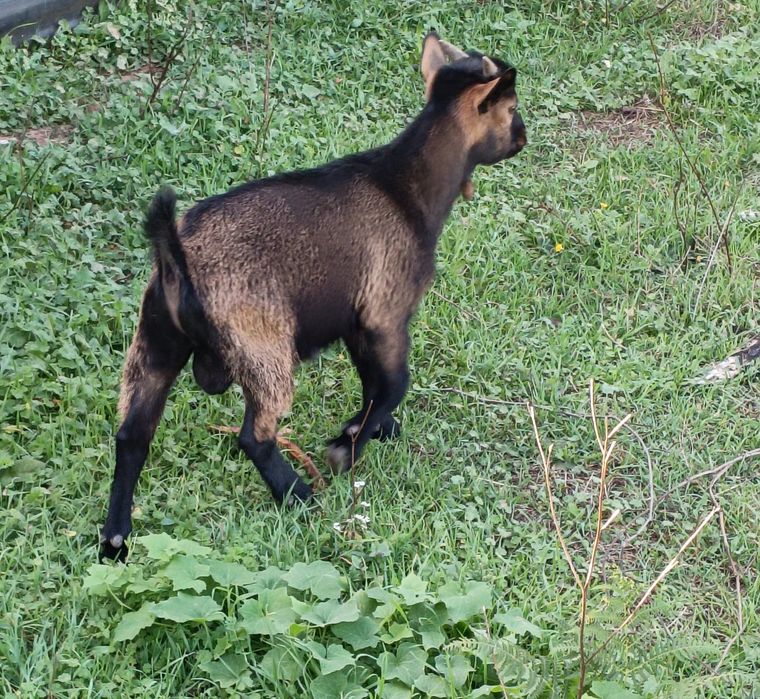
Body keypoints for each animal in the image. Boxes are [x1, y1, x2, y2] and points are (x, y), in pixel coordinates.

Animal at [100, 32, 527, 561]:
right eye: (512, 108)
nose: (523, 138)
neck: (404, 186)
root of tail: (176, 256)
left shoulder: (356, 323)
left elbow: (374, 384)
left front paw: (374, 430)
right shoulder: (385, 313)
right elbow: (395, 383)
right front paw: (349, 444)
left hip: (156, 344)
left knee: (132, 436)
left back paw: (115, 538)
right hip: (263, 351)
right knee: (254, 436)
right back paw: (299, 495)